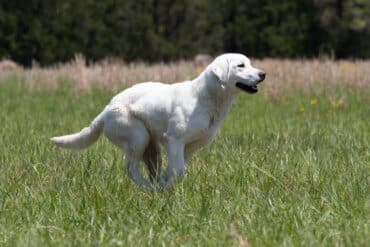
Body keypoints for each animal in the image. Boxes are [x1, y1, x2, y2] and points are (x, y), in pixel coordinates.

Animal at [52, 53, 266, 189]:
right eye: (241, 65)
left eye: (250, 63)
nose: (263, 74)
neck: (206, 97)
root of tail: (105, 111)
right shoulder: (174, 139)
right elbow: (178, 170)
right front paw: (165, 189)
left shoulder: (187, 147)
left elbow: (174, 169)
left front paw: (165, 184)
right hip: (139, 137)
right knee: (131, 169)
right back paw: (150, 189)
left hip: (152, 149)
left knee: (147, 169)